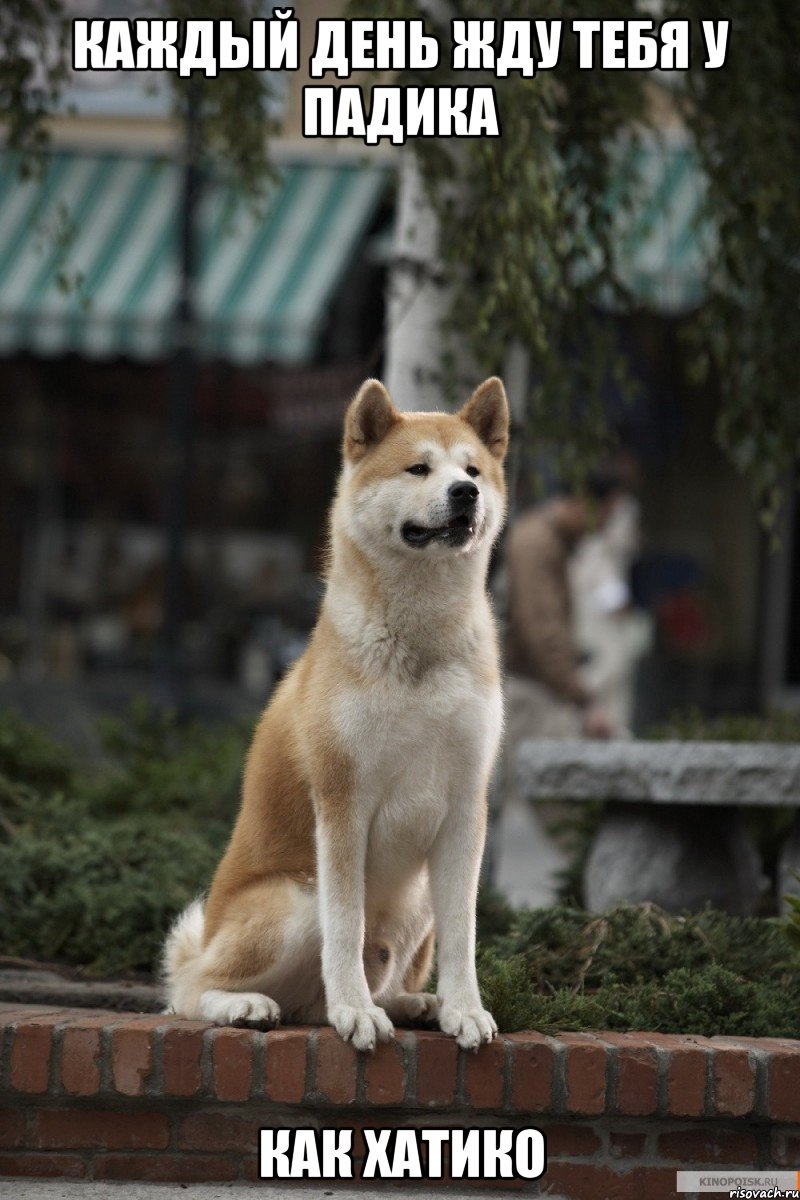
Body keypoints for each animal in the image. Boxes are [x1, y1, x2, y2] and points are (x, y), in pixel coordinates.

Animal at [165, 374, 510, 1051]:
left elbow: (464, 935)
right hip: (295, 900)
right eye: (418, 468)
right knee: (189, 990)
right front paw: (355, 1011)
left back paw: (415, 1003)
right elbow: (346, 928)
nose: (465, 493)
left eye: (473, 470)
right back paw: (250, 1005)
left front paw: (464, 1009)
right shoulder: (343, 801)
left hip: (417, 900)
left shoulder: (466, 806)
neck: (420, 643)